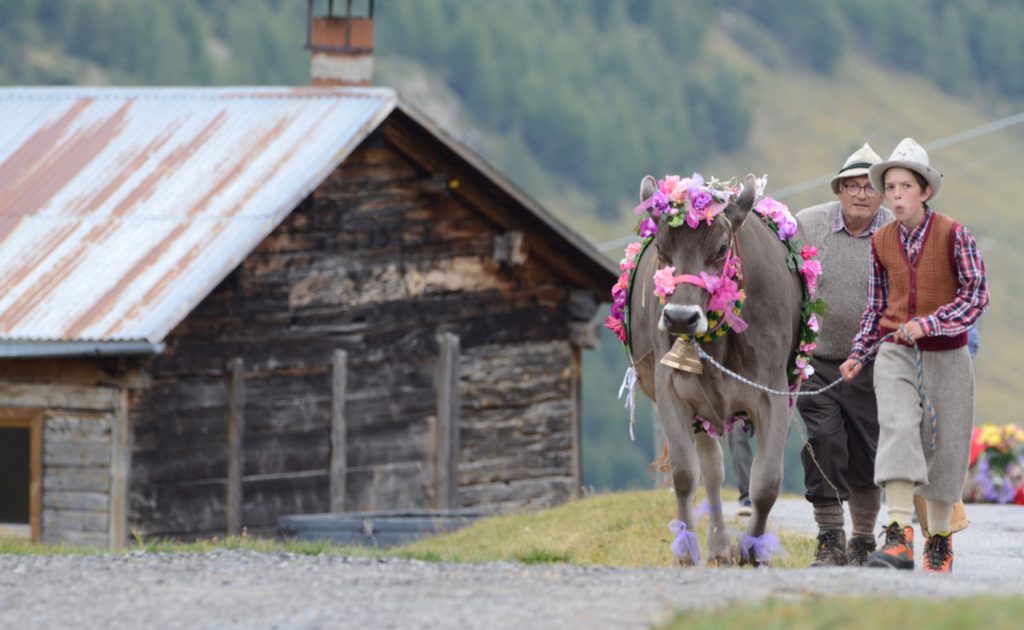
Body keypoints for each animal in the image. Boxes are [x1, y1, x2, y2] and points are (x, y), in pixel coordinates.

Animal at [622, 172, 806, 565]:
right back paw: (718, 546)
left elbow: (767, 480)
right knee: (711, 471)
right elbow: (685, 473)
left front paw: (752, 550)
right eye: (661, 249)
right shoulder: (672, 390)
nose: (680, 318)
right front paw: (685, 552)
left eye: (722, 249)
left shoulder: (774, 392)